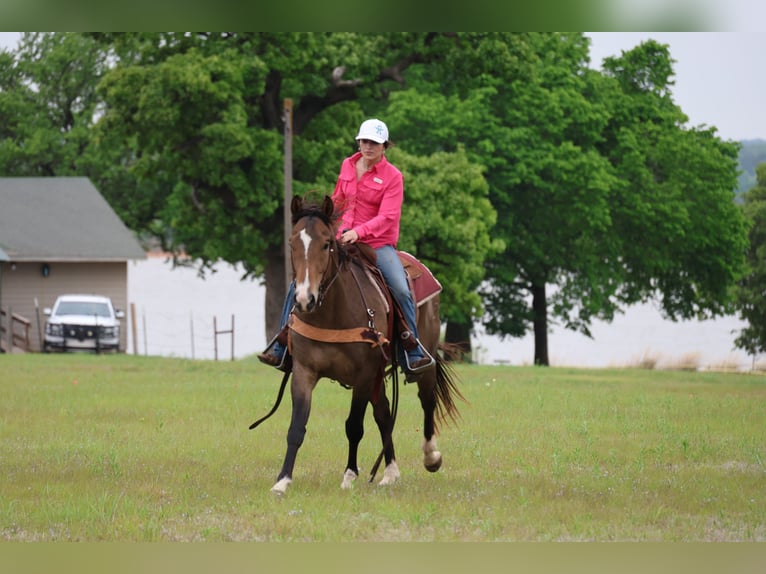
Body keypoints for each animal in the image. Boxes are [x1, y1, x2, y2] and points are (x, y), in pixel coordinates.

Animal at [255, 194, 463, 495]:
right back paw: (389, 473)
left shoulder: (363, 375)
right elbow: (297, 427)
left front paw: (349, 475)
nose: (305, 299)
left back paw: (431, 456)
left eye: (327, 243)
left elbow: (354, 426)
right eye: (292, 243)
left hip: (422, 363)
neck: (332, 313)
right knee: (385, 413)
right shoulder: (304, 372)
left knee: (427, 400)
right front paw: (282, 481)